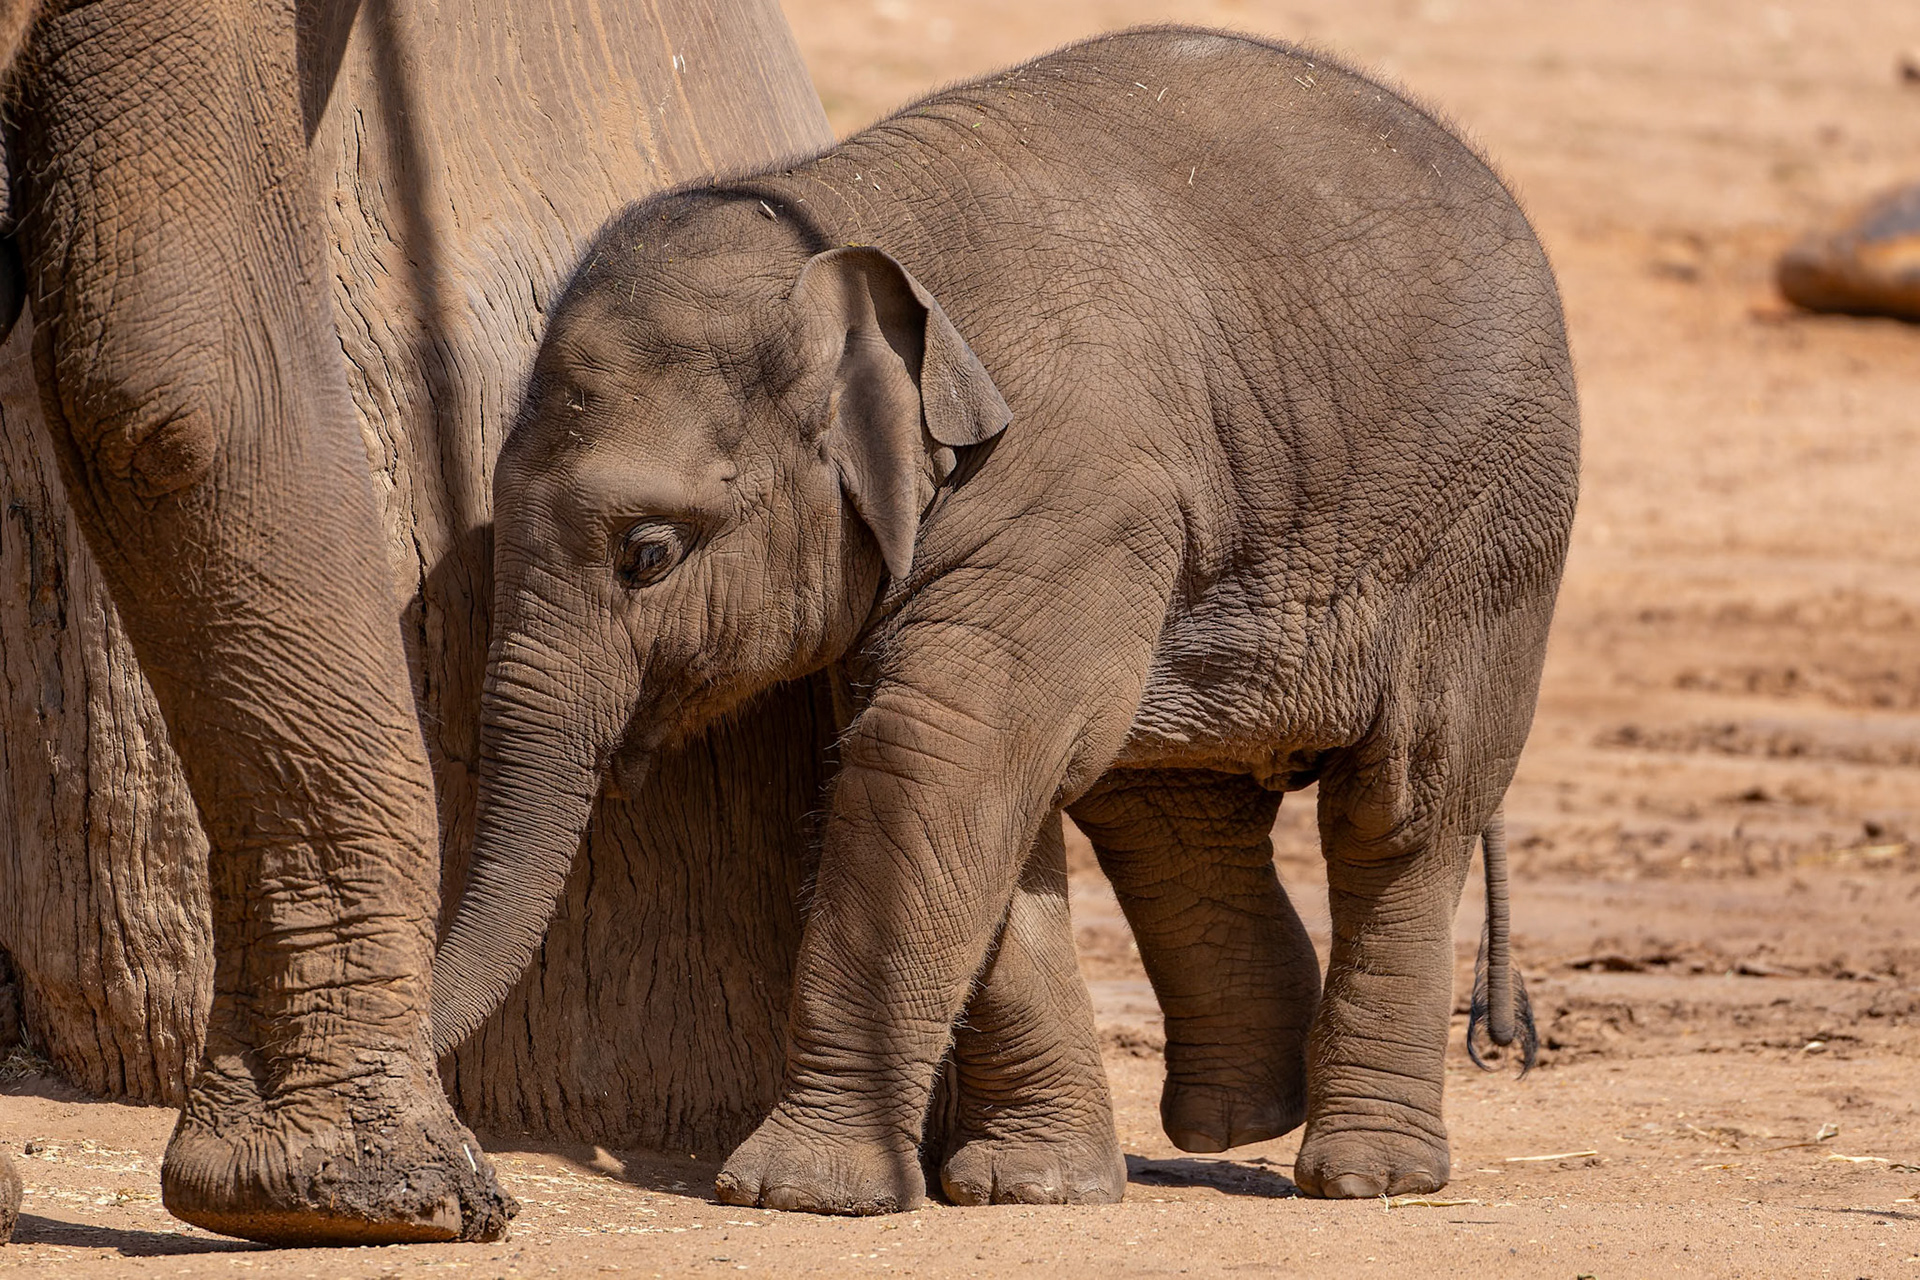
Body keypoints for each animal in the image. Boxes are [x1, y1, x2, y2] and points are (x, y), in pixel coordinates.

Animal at [433, 25, 1579, 1214]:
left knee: (1401, 809)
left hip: (1489, 536)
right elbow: (987, 792)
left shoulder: (1069, 478)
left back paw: (1363, 1172)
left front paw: (799, 1192)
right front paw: (1029, 1187)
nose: (477, 1168)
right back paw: (1236, 1117)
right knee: (1165, 805)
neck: (833, 207)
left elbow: (933, 751)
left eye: (648, 553)